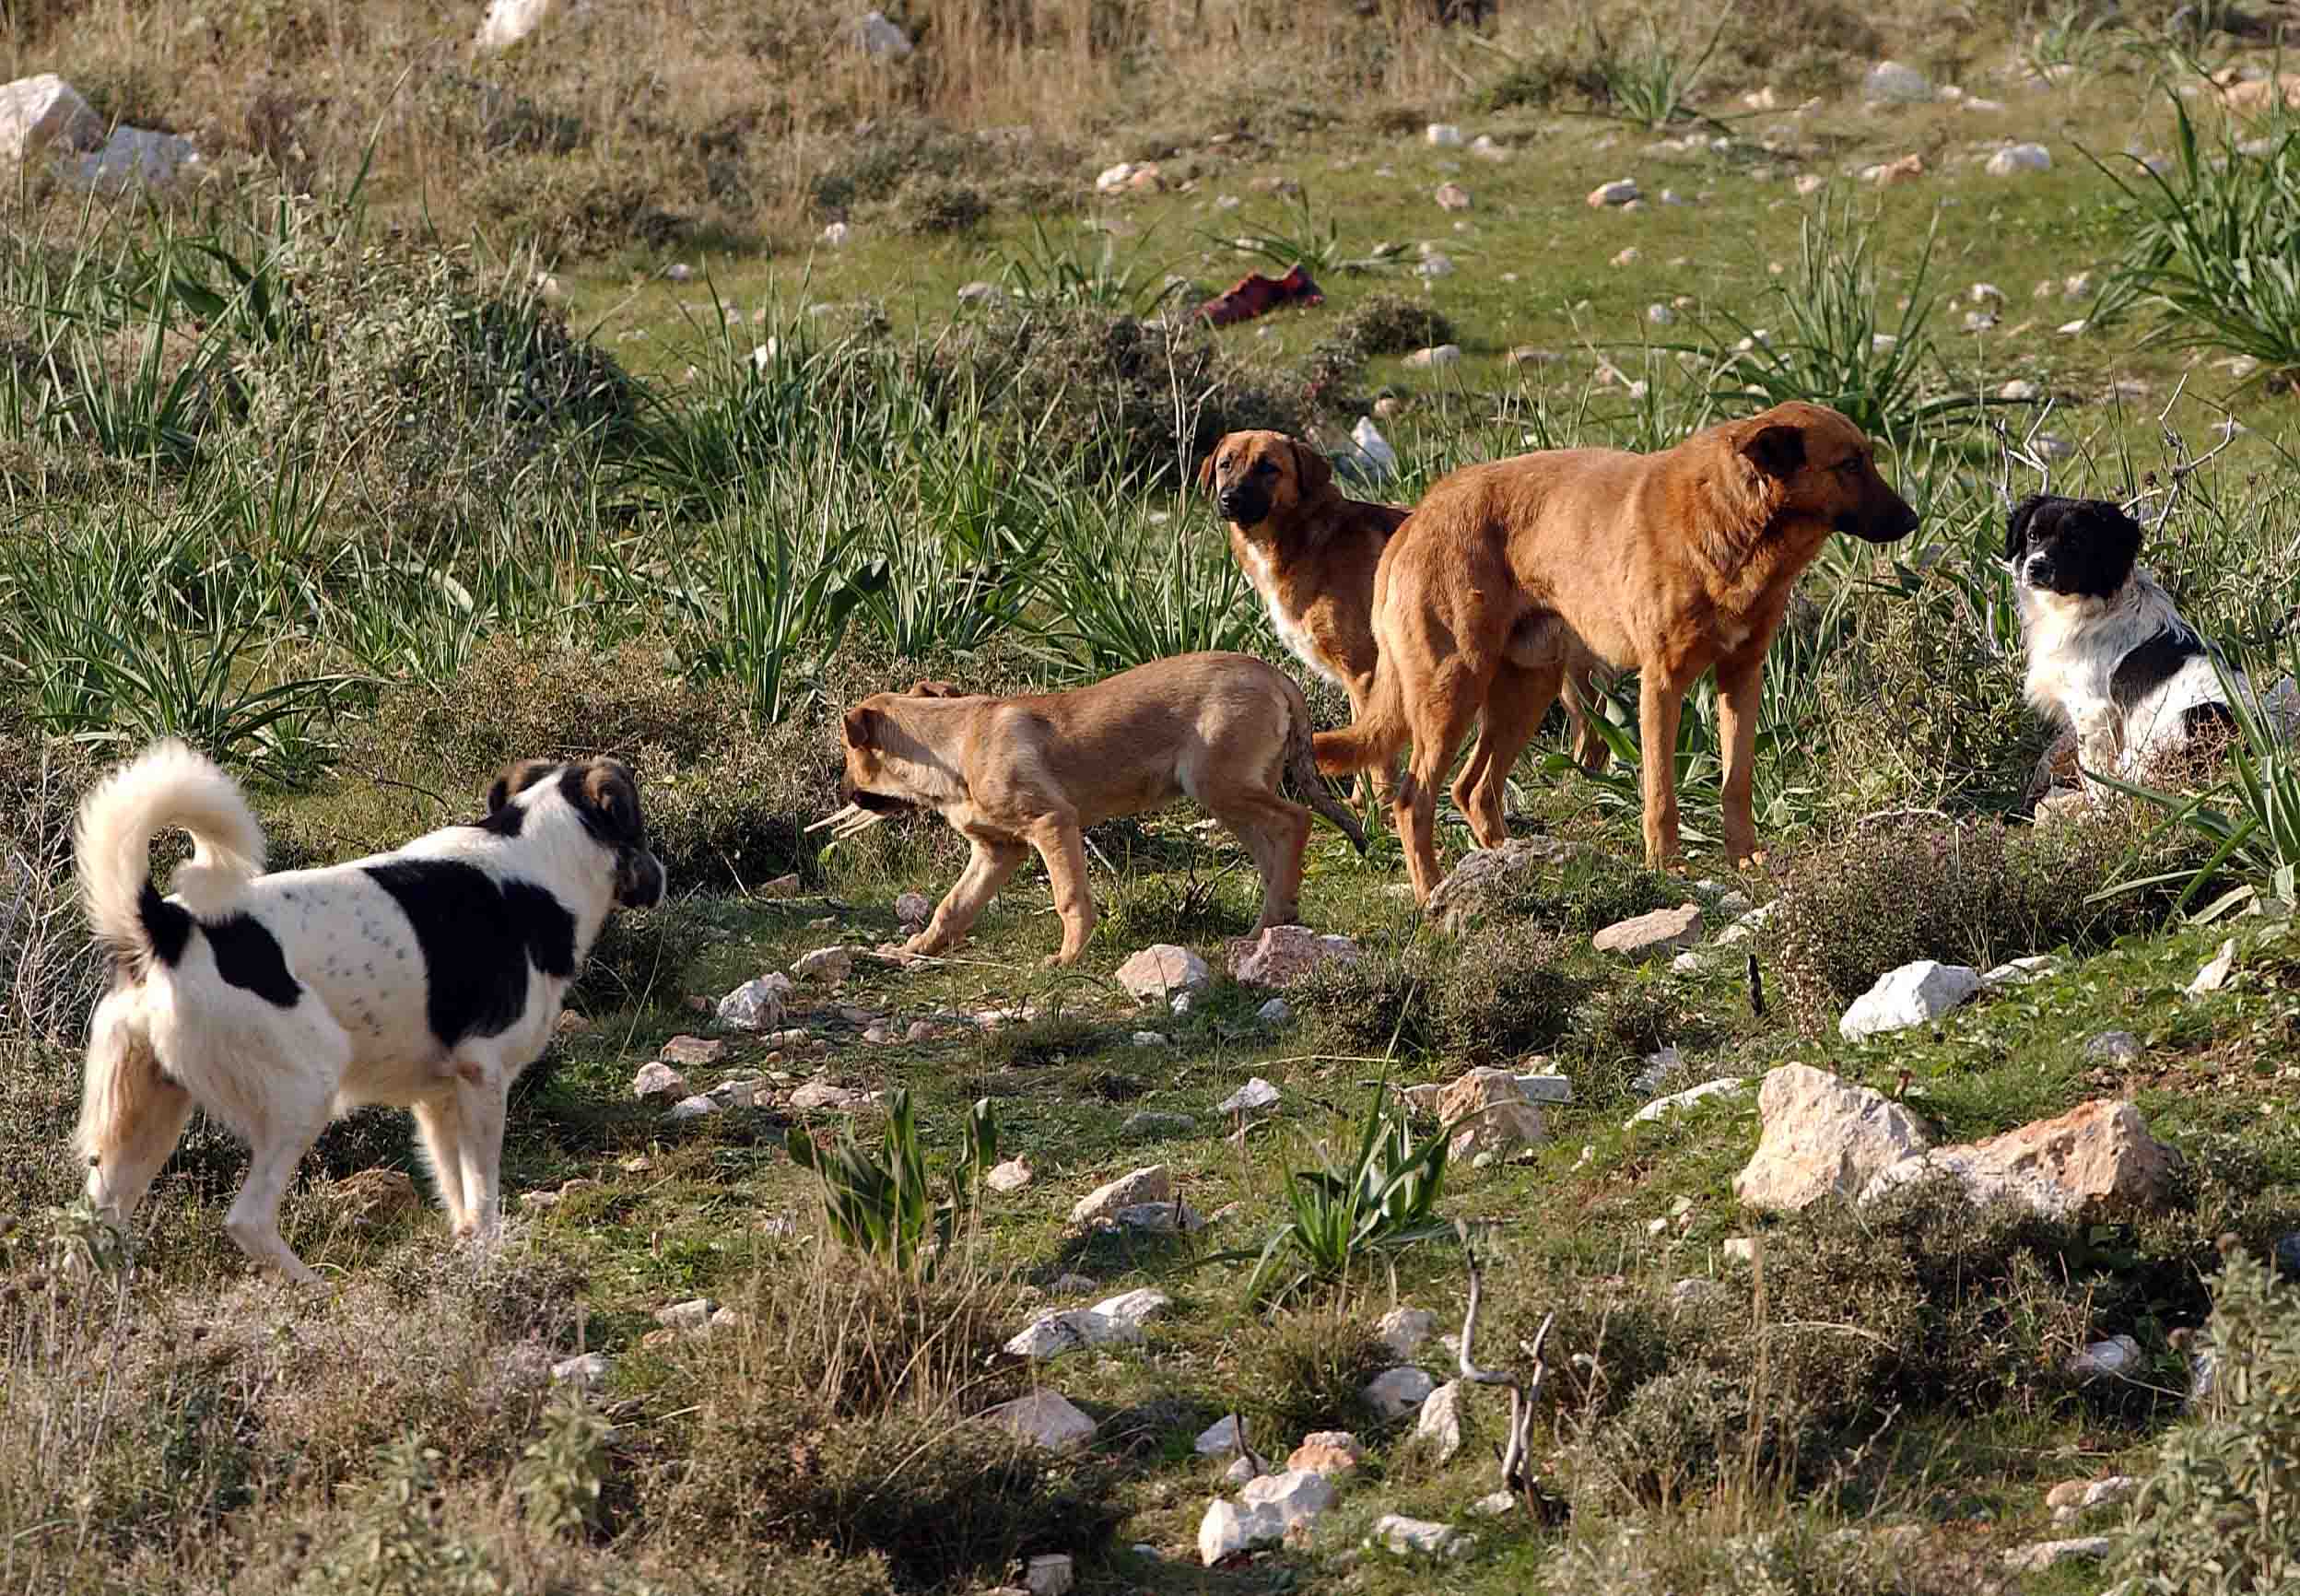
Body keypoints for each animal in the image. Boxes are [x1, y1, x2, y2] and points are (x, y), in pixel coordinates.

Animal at [74, 745, 666, 1278]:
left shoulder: (439, 1099)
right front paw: (490, 1264)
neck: (539, 857)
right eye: (637, 824)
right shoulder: (484, 1076)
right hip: (304, 1091)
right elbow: (483, 1198)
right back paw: (314, 1288)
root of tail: (168, 926)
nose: (660, 879)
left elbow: (458, 1198)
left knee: (95, 1224)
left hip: (148, 1117)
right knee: (248, 1219)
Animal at [814, 657, 1361, 970]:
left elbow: (1069, 898)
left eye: (847, 753)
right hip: (1233, 795)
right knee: (1272, 851)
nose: (843, 792)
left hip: (1219, 785)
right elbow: (954, 904)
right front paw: (919, 948)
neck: (954, 744)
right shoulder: (997, 850)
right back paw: (1268, 927)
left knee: (1295, 821)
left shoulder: (1051, 823)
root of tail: (1276, 675)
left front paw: (1068, 956)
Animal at [1204, 428, 1619, 814]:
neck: (1306, 536)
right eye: (1226, 464)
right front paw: (1363, 804)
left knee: (1593, 732)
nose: (1229, 500)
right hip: (1563, 671)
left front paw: (1376, 806)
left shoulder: (1365, 673)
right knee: (1593, 732)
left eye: (1268, 467)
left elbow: (1376, 757)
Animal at [1315, 400, 1922, 901]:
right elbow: (1660, 794)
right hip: (1452, 691)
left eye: (1868, 459)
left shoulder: (1741, 677)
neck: (1734, 524)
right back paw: (1432, 895)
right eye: (1850, 465)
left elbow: (1736, 781)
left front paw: (1745, 857)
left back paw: (1504, 873)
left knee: (1474, 790)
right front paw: (1667, 867)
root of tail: (1417, 517)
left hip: (1526, 689)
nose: (1914, 520)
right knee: (1413, 800)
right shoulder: (1662, 683)